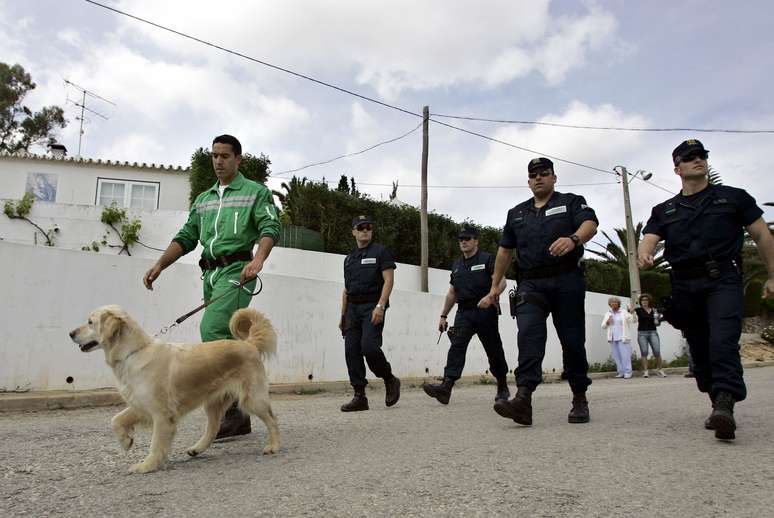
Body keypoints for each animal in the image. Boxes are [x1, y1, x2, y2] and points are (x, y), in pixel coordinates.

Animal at [69, 306, 282, 478]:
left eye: (90, 322)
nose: (70, 333)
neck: (133, 353)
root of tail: (249, 343)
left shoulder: (162, 413)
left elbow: (156, 444)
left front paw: (147, 465)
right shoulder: (140, 404)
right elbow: (116, 420)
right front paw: (126, 441)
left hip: (252, 398)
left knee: (272, 419)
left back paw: (274, 446)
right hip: (213, 402)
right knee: (213, 428)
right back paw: (196, 449)